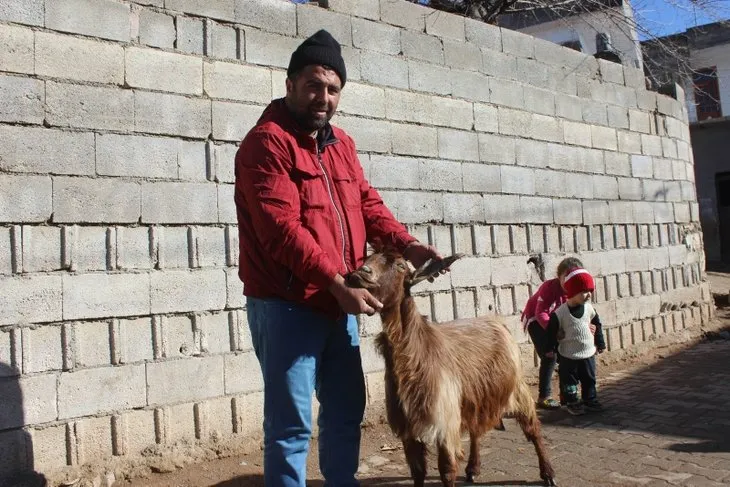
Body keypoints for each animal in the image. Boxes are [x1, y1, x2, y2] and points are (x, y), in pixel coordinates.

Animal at [348, 252, 556, 487]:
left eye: (400, 265)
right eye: (368, 257)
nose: (360, 273)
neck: (417, 352)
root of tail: (497, 321)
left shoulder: (444, 421)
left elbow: (446, 470)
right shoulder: (408, 427)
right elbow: (417, 471)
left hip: (517, 389)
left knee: (533, 429)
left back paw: (548, 473)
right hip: (476, 396)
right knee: (476, 430)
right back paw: (473, 468)